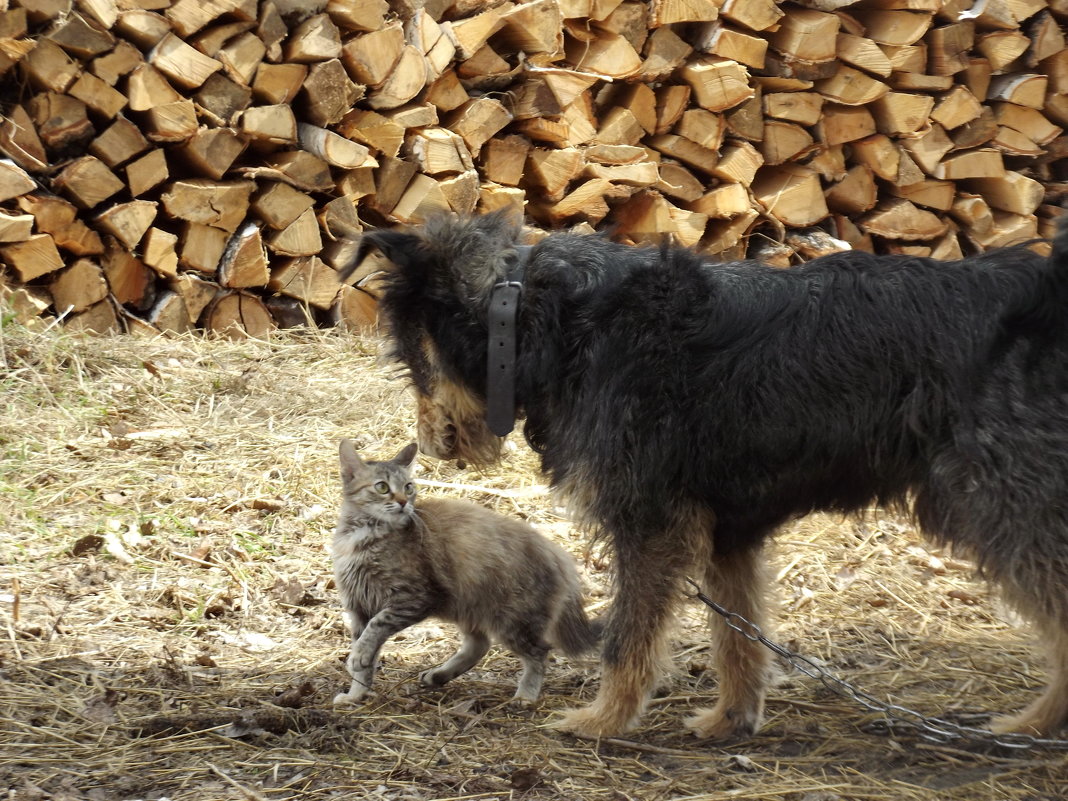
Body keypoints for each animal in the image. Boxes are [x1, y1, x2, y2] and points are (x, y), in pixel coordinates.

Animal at [331, 442, 602, 704]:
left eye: (408, 487)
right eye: (382, 487)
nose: (403, 502)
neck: (362, 537)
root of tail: (559, 554)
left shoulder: (415, 597)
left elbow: (375, 628)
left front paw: (358, 659)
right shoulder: (359, 605)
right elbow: (366, 658)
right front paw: (356, 694)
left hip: (513, 620)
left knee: (538, 652)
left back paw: (526, 695)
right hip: (468, 607)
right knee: (479, 644)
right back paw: (439, 676)